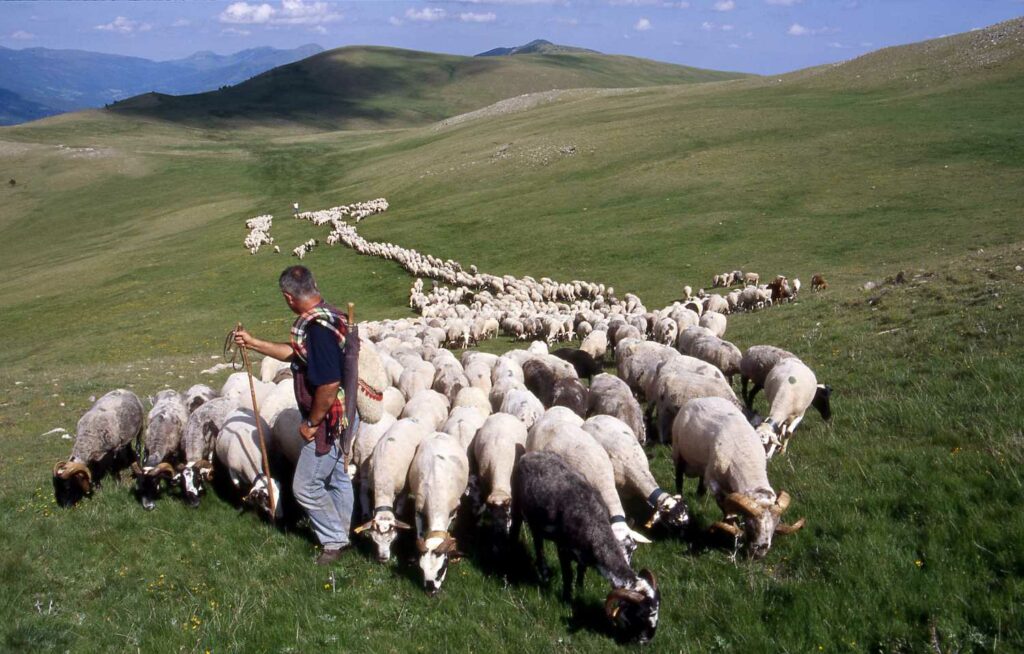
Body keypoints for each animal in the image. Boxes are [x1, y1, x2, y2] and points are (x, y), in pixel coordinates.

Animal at [409, 431, 468, 597]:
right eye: (421, 569)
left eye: (442, 568)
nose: (431, 591)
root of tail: (440, 433)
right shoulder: (418, 510)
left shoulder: (452, 511)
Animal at [512, 452, 663, 642]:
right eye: (640, 614)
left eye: (657, 611)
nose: (646, 640)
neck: (594, 525)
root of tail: (530, 455)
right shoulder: (563, 549)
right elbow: (568, 574)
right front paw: (567, 598)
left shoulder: (584, 555)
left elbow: (581, 570)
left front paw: (580, 589)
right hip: (525, 511)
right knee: (534, 539)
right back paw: (540, 569)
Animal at [671, 397, 806, 560]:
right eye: (750, 523)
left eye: (775, 524)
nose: (759, 551)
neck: (745, 455)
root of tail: (701, 398)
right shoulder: (713, 480)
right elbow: (723, 504)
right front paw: (730, 525)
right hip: (678, 450)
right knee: (679, 478)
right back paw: (680, 497)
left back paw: (700, 495)